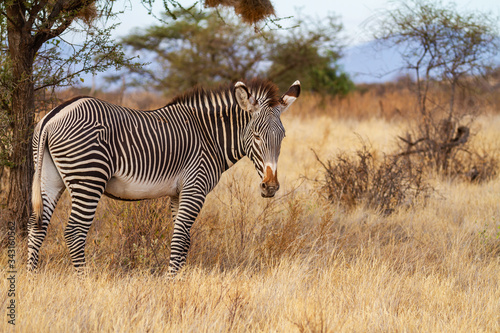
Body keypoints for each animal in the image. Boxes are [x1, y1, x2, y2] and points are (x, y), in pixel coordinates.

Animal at [28, 78, 300, 274]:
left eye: (283, 137)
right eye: (256, 136)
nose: (270, 187)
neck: (209, 137)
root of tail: (52, 116)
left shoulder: (177, 194)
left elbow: (185, 239)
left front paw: (178, 279)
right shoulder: (194, 187)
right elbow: (180, 238)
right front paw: (171, 284)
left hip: (50, 178)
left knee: (36, 225)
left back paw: (32, 279)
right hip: (88, 178)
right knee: (75, 231)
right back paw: (84, 281)